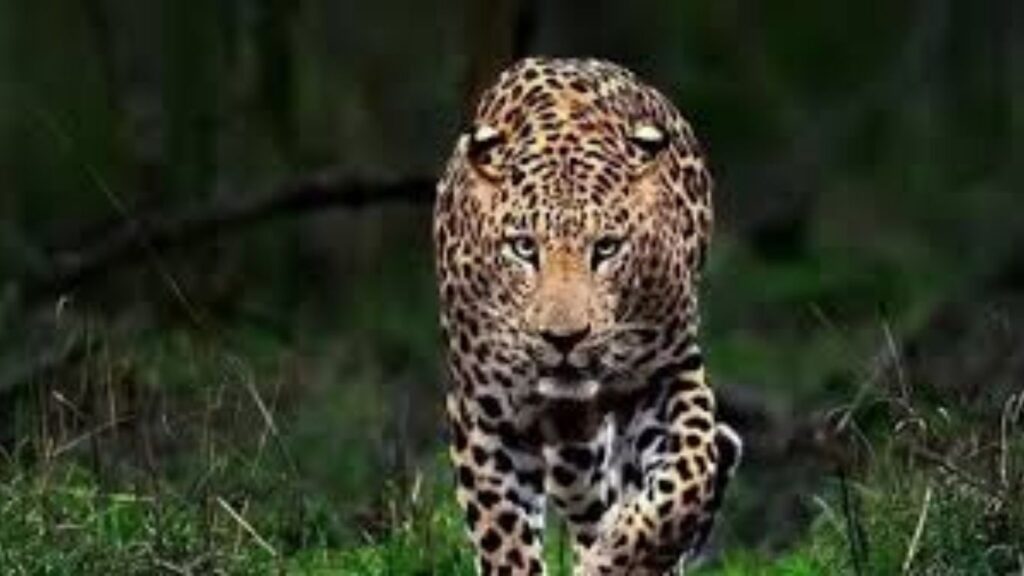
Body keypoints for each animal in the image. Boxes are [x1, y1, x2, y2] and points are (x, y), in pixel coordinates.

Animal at [432, 57, 741, 576]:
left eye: (607, 248)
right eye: (523, 247)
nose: (564, 338)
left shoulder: (670, 372)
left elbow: (691, 478)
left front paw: (617, 558)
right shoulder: (485, 415)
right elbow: (504, 541)